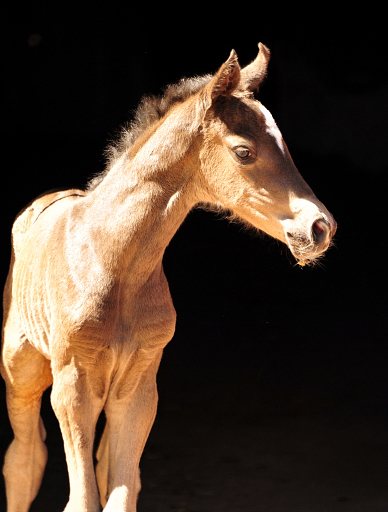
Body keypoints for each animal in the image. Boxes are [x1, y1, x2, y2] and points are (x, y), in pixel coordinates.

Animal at [1, 45, 334, 512]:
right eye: (244, 152)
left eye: (285, 143)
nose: (321, 227)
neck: (114, 262)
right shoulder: (72, 383)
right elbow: (80, 499)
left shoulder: (139, 386)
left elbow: (121, 495)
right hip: (23, 373)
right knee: (24, 459)